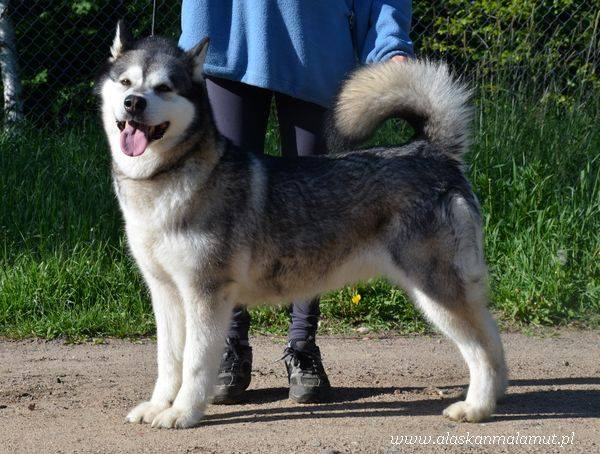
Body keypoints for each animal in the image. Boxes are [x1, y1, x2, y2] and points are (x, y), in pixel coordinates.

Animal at [98, 23, 506, 430]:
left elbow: (196, 364)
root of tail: (430, 151)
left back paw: (476, 407)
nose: (134, 103)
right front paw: (157, 405)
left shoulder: (205, 293)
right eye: (126, 82)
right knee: (492, 333)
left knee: (481, 349)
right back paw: (496, 394)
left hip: (434, 290)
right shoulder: (166, 294)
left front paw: (182, 412)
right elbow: (169, 361)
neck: (163, 181)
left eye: (164, 87)